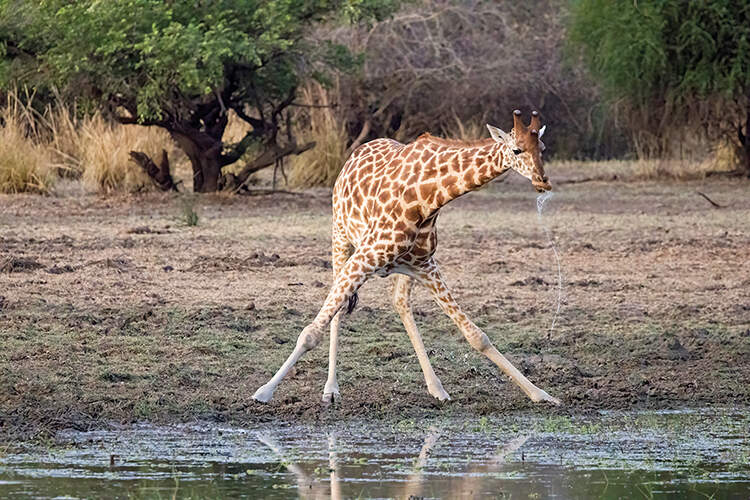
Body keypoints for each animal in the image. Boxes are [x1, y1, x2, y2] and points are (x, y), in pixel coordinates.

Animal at [256, 109, 560, 406]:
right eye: (517, 149)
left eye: (543, 148)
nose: (543, 181)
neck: (429, 197)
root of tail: (355, 154)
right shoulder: (365, 256)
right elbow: (311, 332)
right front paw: (264, 392)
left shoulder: (425, 264)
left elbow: (476, 335)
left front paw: (541, 394)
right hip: (340, 238)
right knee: (341, 310)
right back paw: (331, 389)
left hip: (403, 268)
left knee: (401, 303)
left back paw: (436, 388)